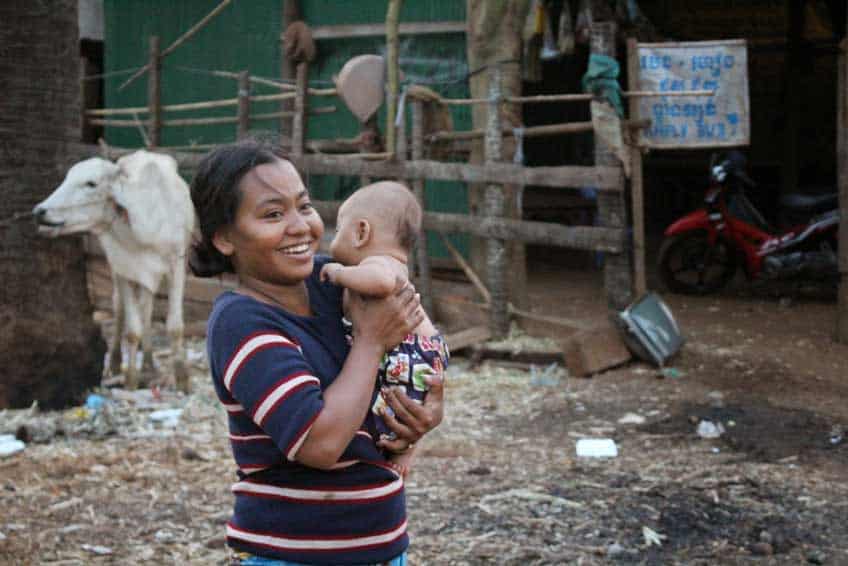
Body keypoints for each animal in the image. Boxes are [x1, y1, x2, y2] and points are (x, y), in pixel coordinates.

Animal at [33, 151, 195, 394]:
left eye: (91, 183)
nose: (40, 211)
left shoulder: (177, 264)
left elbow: (174, 326)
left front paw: (183, 379)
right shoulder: (124, 269)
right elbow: (132, 330)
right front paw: (130, 381)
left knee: (146, 309)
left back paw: (148, 363)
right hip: (116, 271)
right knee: (119, 308)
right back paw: (117, 362)